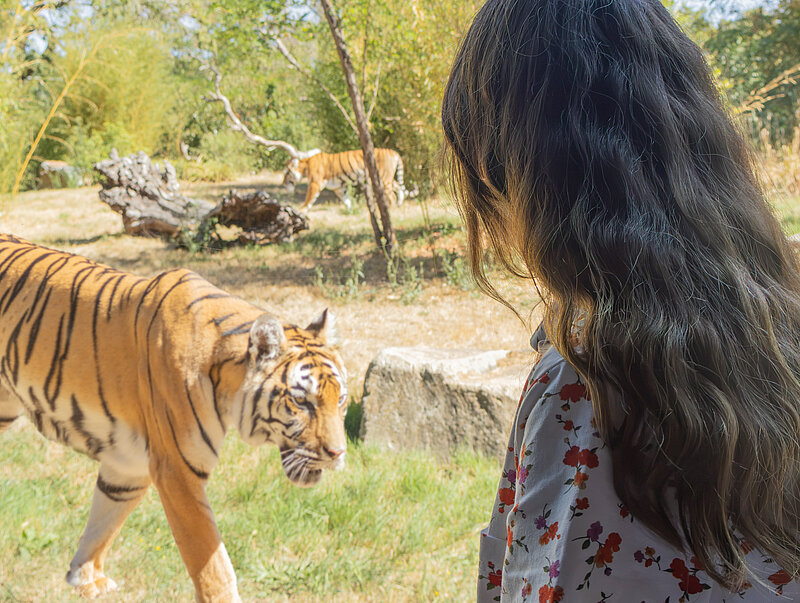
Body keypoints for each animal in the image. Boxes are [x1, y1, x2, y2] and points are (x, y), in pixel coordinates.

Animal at [0, 234, 348, 602]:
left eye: (340, 399)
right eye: (301, 401)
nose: (338, 454)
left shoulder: (128, 462)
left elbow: (105, 517)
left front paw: (85, 578)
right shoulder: (177, 469)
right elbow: (213, 564)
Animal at [282, 148, 413, 211]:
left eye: (286, 173)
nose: (283, 183)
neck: (305, 166)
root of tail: (393, 151)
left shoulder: (315, 183)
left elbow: (308, 200)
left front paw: (301, 211)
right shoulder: (338, 188)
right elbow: (347, 201)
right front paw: (352, 211)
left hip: (383, 179)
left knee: (392, 196)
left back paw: (392, 209)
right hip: (387, 178)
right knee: (399, 188)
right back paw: (399, 204)